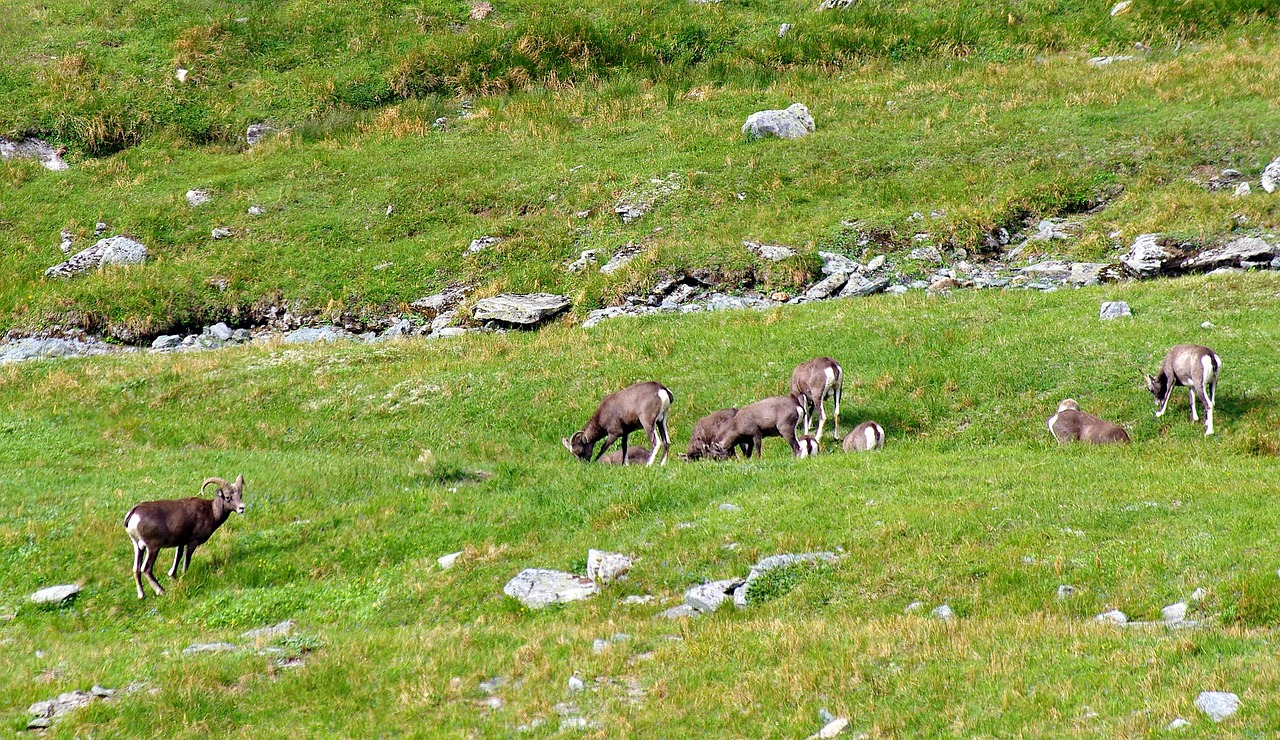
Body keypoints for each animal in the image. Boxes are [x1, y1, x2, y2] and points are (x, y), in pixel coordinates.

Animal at [123, 471, 245, 599]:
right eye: (228, 497)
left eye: (240, 495)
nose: (242, 508)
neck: (211, 511)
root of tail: (133, 514)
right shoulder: (192, 542)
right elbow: (186, 560)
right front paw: (183, 576)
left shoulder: (181, 543)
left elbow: (178, 557)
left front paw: (172, 576)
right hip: (153, 548)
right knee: (146, 569)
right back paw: (161, 591)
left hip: (138, 546)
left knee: (136, 569)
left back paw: (142, 596)